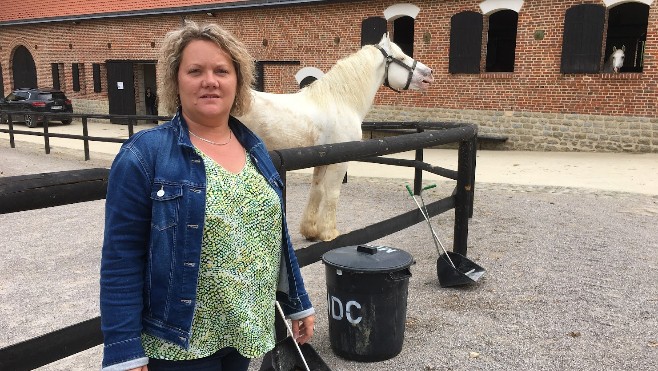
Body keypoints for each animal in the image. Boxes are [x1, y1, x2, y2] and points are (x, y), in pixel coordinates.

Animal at [238, 33, 434, 240]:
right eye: (402, 57)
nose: (429, 73)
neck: (341, 101)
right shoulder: (340, 162)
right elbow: (332, 194)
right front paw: (329, 232)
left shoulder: (322, 161)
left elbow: (316, 190)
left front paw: (310, 231)